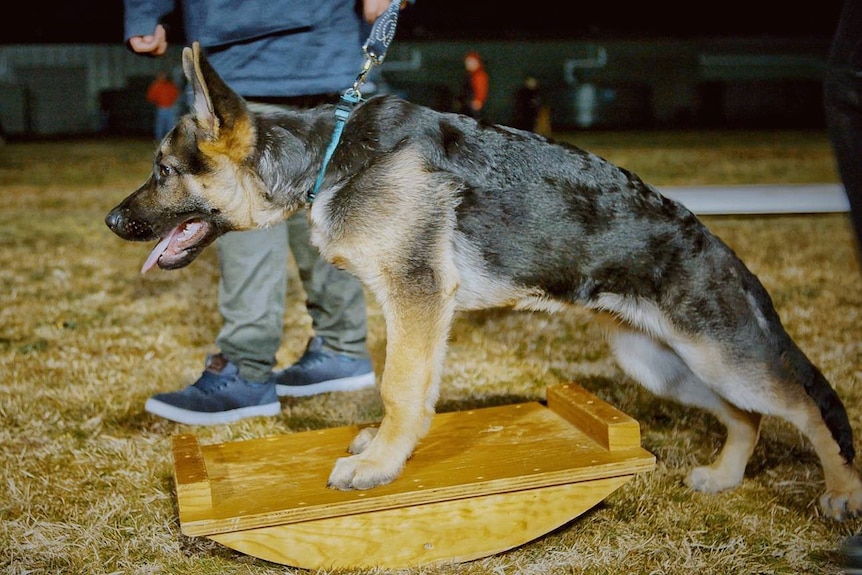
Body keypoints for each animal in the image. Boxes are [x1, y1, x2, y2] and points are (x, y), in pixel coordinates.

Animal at [108, 44, 862, 520]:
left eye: (164, 171)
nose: (112, 219)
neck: (325, 156)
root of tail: (718, 246)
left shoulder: (415, 298)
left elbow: (399, 385)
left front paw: (379, 466)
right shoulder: (412, 309)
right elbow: (407, 386)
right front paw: (385, 448)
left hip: (717, 356)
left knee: (802, 408)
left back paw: (842, 493)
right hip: (662, 364)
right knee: (748, 415)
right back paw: (728, 477)